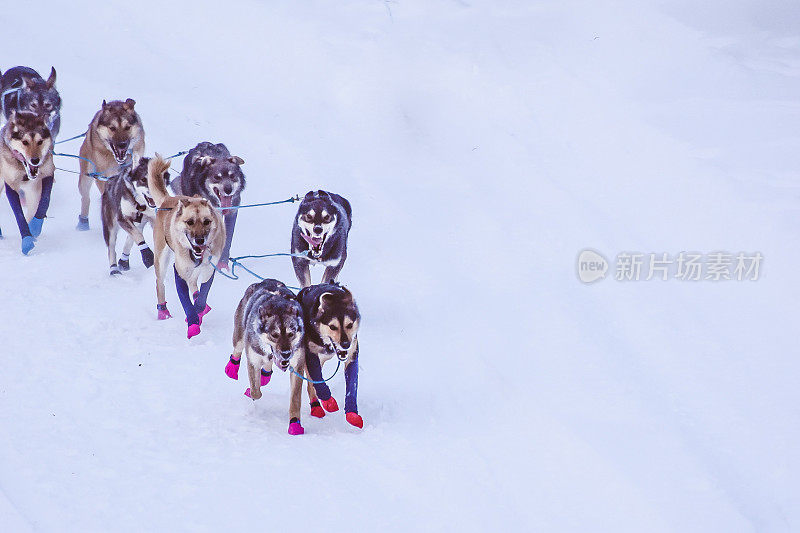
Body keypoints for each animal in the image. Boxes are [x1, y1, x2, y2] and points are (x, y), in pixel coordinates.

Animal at [0, 110, 54, 254]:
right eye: (25, 142)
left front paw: (35, 226)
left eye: (40, 141)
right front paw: (27, 239)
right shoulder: (11, 185)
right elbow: (19, 216)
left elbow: (44, 201)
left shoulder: (48, 173)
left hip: (32, 191)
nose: (35, 160)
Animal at [77, 99, 145, 231]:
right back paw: (83, 222)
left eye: (127, 127)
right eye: (112, 128)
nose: (122, 144)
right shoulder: (103, 177)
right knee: (85, 198)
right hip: (85, 178)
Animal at [147, 154, 225, 336]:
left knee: (194, 286)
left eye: (206, 221)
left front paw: (200, 308)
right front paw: (193, 322)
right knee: (160, 284)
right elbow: (186, 303)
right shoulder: (180, 270)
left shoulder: (209, 269)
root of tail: (168, 199)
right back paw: (163, 312)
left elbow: (202, 298)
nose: (200, 240)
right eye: (190, 222)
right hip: (161, 258)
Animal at [227, 278, 310, 432]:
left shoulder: (297, 364)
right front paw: (253, 391)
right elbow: (256, 392)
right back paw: (232, 368)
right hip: (240, 335)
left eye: (291, 334)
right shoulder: (253, 360)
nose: (286, 353)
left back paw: (266, 373)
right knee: (237, 349)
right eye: (274, 334)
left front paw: (295, 423)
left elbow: (295, 399)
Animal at [296, 282, 364, 428]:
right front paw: (328, 401)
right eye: (333, 327)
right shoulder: (311, 355)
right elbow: (318, 382)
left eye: (350, 325)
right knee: (312, 384)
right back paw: (316, 407)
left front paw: (352, 413)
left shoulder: (352, 356)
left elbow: (352, 387)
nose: (345, 344)